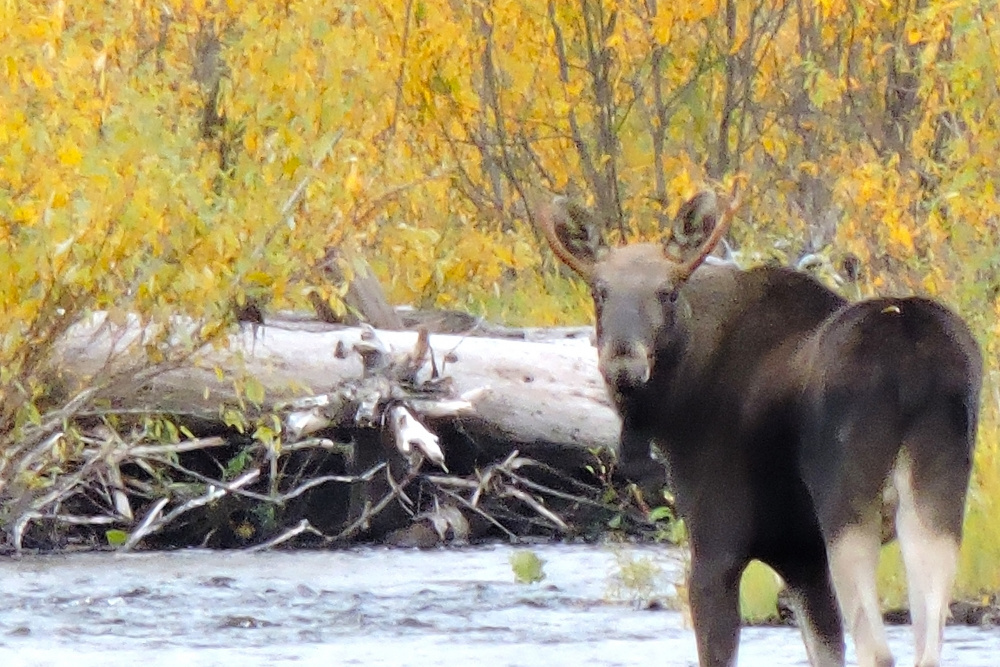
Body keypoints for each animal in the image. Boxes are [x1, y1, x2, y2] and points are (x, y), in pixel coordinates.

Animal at [540, 190, 984, 664]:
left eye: (668, 292)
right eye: (598, 290)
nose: (623, 365)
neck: (674, 406)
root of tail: (911, 344)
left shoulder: (717, 544)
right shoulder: (801, 558)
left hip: (847, 505)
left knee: (878, 650)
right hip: (936, 498)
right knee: (927, 644)